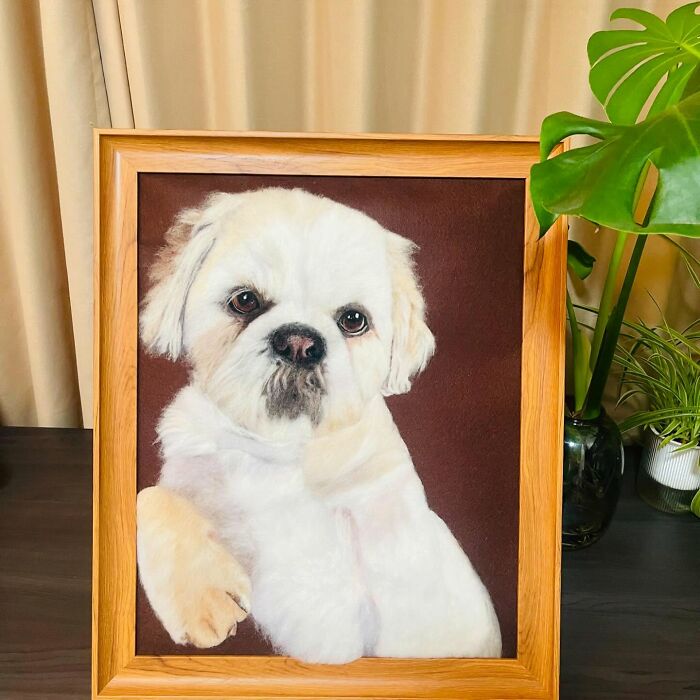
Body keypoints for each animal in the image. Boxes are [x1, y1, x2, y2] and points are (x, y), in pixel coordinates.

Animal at [136, 187, 502, 663]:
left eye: (353, 319)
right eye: (245, 301)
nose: (299, 341)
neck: (274, 450)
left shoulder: (326, 615)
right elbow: (148, 498)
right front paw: (204, 599)